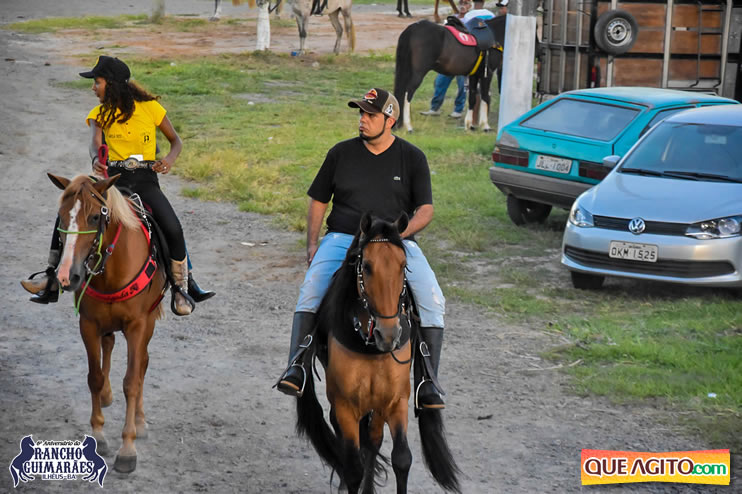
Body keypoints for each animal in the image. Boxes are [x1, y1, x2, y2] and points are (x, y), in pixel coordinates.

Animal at [48, 173, 168, 474]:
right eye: (61, 217)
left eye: (94, 217)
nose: (67, 276)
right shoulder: (88, 324)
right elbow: (95, 377)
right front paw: (99, 435)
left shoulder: (138, 325)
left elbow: (132, 381)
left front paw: (127, 448)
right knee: (109, 344)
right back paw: (106, 396)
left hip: (148, 323)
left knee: (143, 363)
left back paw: (140, 420)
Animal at [295, 213, 460, 494]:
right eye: (368, 266)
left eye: (404, 265)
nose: (389, 334)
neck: (370, 345)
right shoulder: (345, 403)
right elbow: (353, 468)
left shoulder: (394, 399)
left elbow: (400, 458)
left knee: (373, 439)